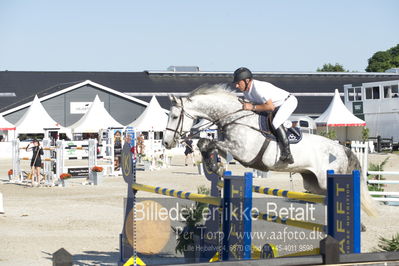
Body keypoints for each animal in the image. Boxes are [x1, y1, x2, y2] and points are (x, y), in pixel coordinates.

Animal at [162, 84, 378, 216]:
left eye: (174, 116)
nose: (165, 143)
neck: (234, 118)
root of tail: (342, 149)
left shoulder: (242, 151)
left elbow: (208, 143)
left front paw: (217, 167)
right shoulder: (231, 149)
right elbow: (204, 144)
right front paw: (215, 166)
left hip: (328, 178)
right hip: (313, 183)